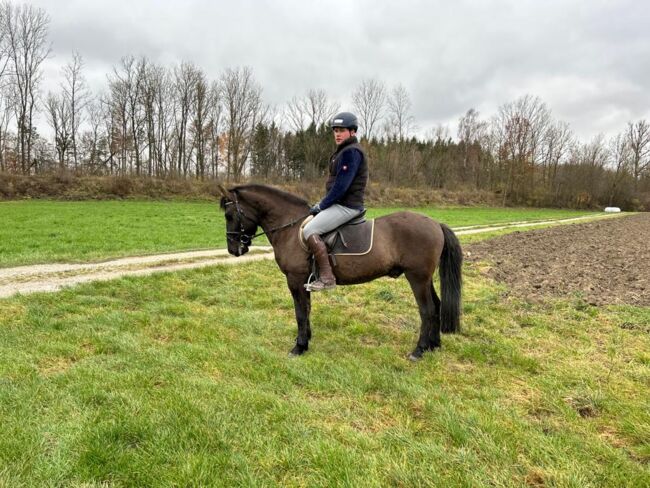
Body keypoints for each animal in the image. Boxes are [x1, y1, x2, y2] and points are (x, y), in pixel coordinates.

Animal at [218, 183, 460, 358]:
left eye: (229, 215)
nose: (233, 249)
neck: (291, 227)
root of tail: (436, 224)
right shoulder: (304, 281)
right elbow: (306, 310)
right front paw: (306, 340)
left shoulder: (295, 279)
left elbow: (300, 312)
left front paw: (299, 347)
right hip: (425, 279)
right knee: (437, 306)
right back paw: (433, 346)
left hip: (417, 278)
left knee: (427, 310)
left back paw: (419, 351)